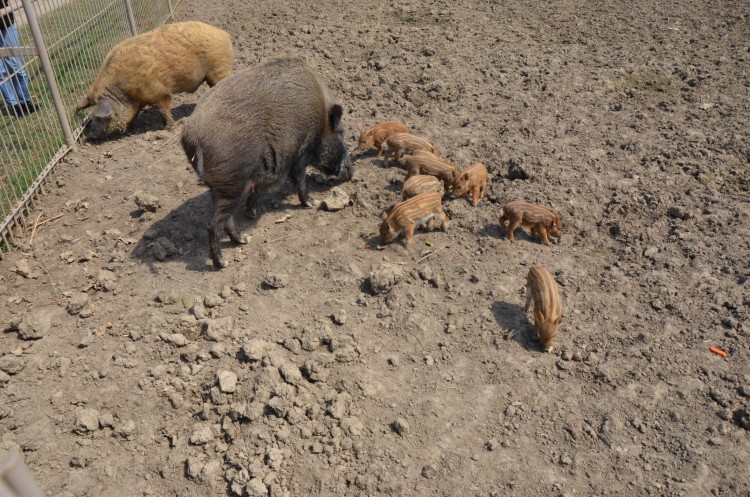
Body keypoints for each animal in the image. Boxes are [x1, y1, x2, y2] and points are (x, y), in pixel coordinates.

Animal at [77, 20, 232, 139]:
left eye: (99, 118)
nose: (90, 136)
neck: (123, 90)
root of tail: (224, 34)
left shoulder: (157, 92)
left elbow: (164, 109)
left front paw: (168, 128)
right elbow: (136, 114)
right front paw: (132, 129)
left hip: (219, 67)